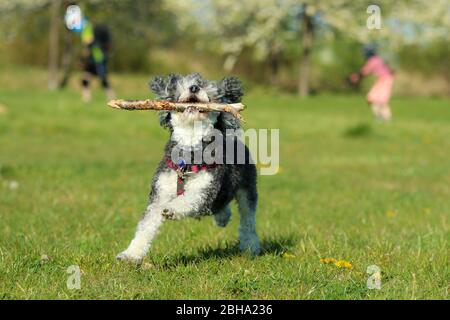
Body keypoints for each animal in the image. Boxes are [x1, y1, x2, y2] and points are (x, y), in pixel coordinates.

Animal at [116, 74, 260, 264]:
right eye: (182, 85)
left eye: (206, 87)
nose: (193, 88)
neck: (188, 152)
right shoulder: (159, 193)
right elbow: (145, 226)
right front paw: (130, 255)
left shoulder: (205, 190)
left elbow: (188, 199)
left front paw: (172, 209)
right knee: (222, 207)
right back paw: (223, 218)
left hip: (247, 188)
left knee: (248, 220)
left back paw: (251, 246)